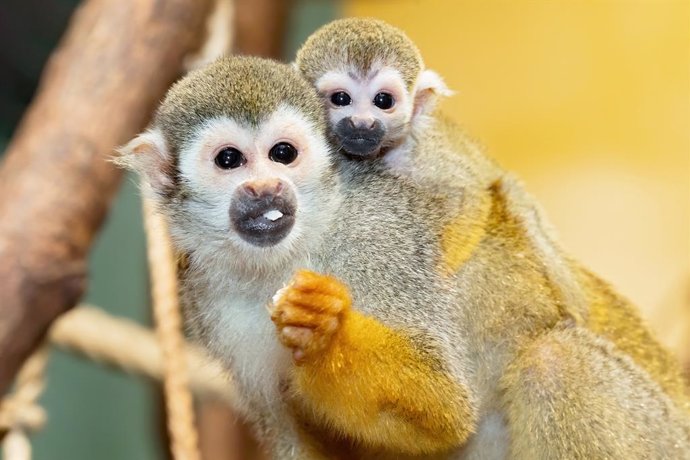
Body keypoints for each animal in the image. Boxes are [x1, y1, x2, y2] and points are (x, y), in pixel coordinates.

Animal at [118, 53, 688, 456]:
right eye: (229, 161)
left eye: (283, 154)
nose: (264, 190)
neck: (290, 253)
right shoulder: (207, 299)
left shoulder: (381, 234)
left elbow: (443, 406)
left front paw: (326, 334)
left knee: (556, 362)